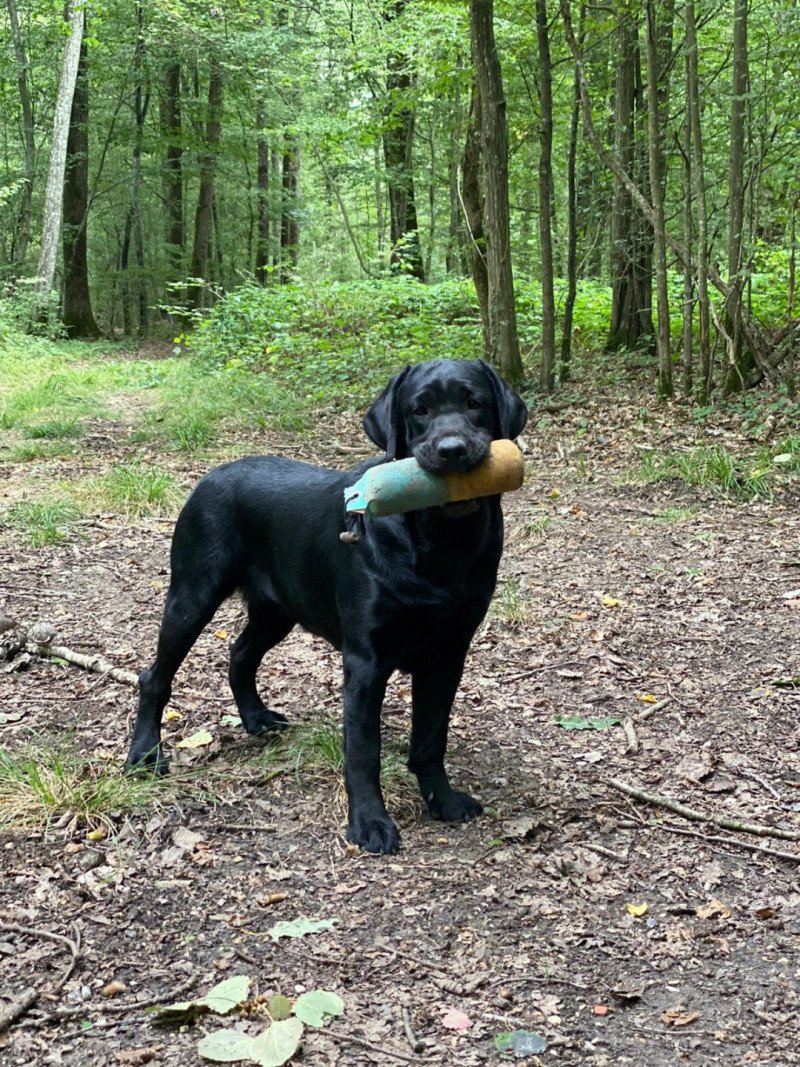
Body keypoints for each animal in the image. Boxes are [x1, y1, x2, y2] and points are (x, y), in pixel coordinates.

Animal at [128, 362, 529, 853]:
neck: (440, 544)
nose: (451, 451)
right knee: (155, 677)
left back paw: (256, 718)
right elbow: (363, 751)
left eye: (475, 403)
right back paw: (144, 754)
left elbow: (431, 738)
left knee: (240, 655)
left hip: (276, 611)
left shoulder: (448, 654)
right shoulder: (365, 661)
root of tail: (212, 474)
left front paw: (444, 801)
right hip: (192, 596)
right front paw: (370, 823)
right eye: (419, 410)